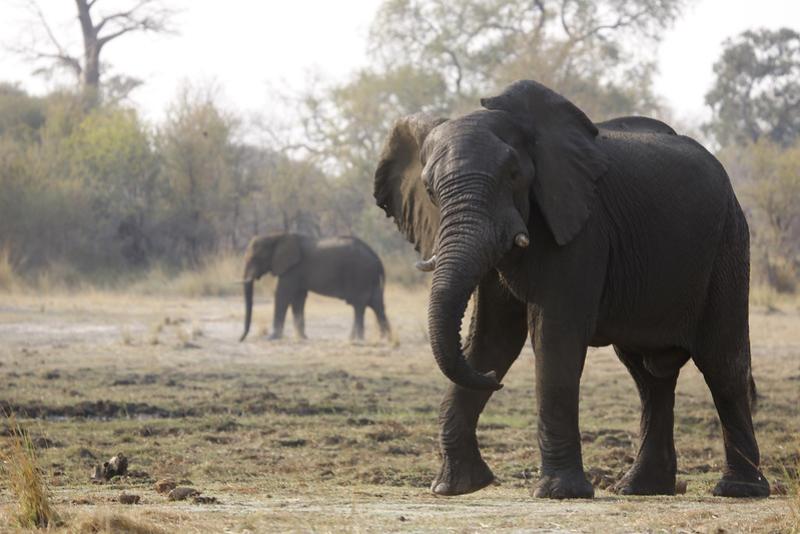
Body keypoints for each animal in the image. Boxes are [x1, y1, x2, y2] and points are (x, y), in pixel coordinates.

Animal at [239, 233, 390, 342]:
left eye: (254, 259)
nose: (241, 339)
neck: (276, 236)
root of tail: (377, 259)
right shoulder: (297, 272)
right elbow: (298, 299)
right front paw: (302, 337)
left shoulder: (293, 269)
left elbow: (283, 295)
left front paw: (272, 338)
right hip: (368, 277)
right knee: (376, 304)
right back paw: (384, 339)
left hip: (360, 274)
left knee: (360, 305)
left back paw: (358, 339)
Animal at [373, 80, 769, 499]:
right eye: (430, 190)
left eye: (512, 175)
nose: (495, 380)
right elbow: (492, 338)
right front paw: (455, 488)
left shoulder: (582, 226)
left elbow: (554, 336)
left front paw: (559, 492)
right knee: (648, 377)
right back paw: (639, 488)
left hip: (728, 243)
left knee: (722, 365)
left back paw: (737, 490)